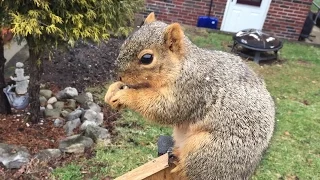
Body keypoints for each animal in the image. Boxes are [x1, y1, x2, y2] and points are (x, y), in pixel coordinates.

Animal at [105, 11, 276, 179]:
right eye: (124, 43)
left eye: (147, 58)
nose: (118, 75)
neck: (181, 66)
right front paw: (112, 91)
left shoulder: (190, 90)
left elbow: (163, 109)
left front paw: (125, 96)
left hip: (210, 150)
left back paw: (181, 165)